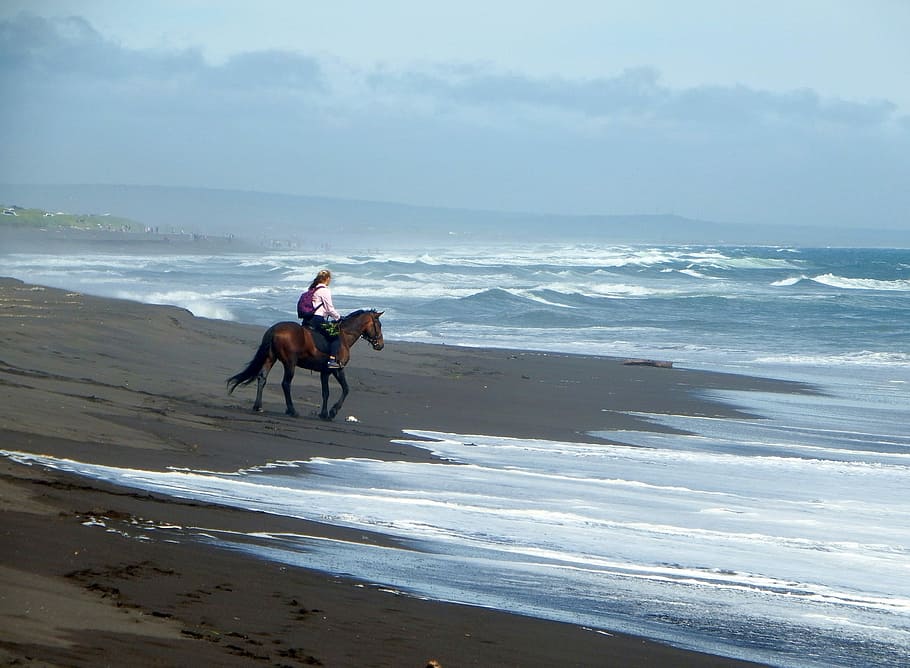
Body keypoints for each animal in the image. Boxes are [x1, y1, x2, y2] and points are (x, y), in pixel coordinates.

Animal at [227, 309, 384, 419]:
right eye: (379, 325)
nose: (381, 345)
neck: (344, 336)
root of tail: (274, 329)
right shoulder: (338, 370)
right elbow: (346, 389)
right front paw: (333, 411)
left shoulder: (325, 372)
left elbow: (326, 392)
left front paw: (324, 413)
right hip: (290, 363)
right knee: (285, 384)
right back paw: (292, 410)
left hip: (270, 358)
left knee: (262, 378)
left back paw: (258, 406)